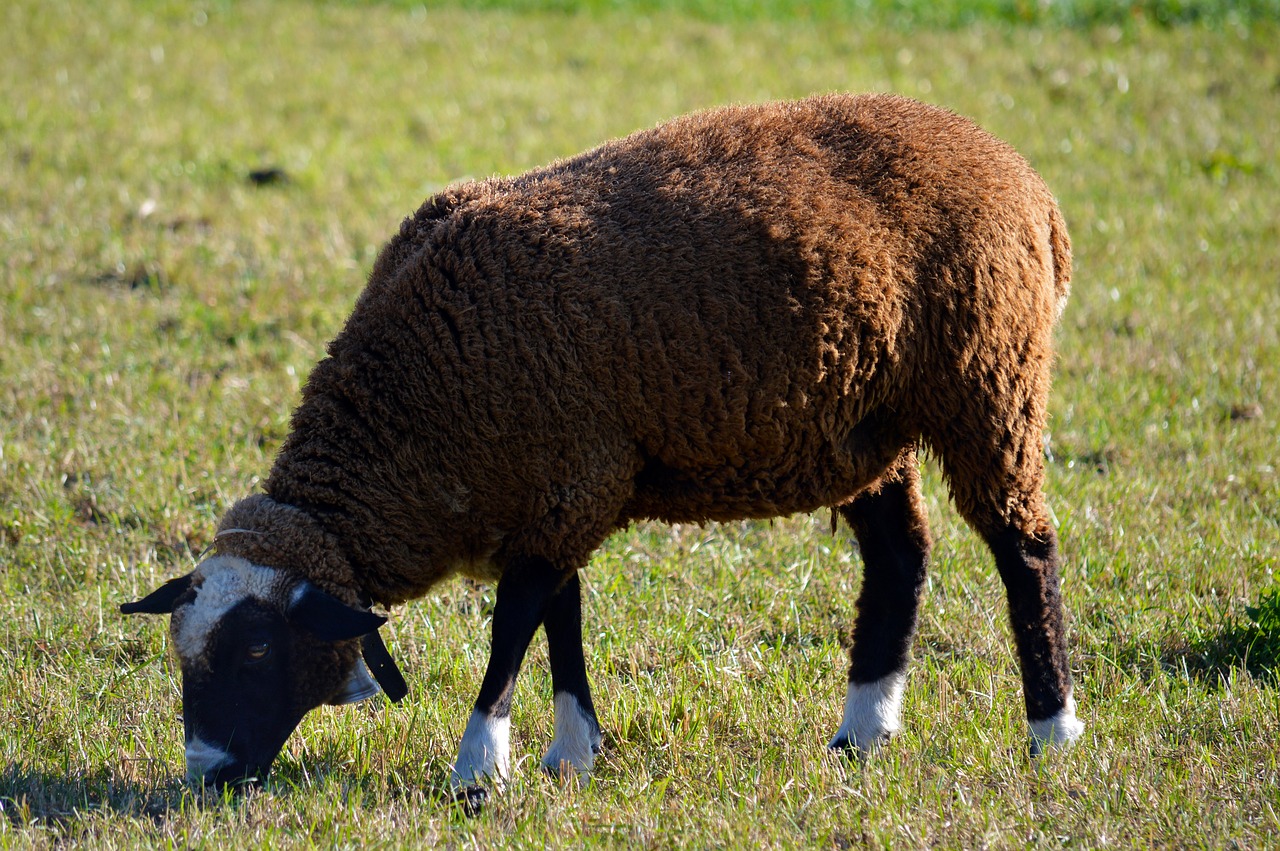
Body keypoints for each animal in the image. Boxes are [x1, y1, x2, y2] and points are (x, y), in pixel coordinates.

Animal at [122, 92, 1080, 798]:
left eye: (255, 648)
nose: (206, 775)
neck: (416, 412)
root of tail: (1028, 184)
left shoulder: (566, 480)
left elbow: (514, 624)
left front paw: (480, 767)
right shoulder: (561, 486)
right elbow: (562, 617)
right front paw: (571, 751)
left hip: (988, 379)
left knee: (1024, 548)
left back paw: (1052, 731)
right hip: (862, 423)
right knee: (899, 556)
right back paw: (862, 733)